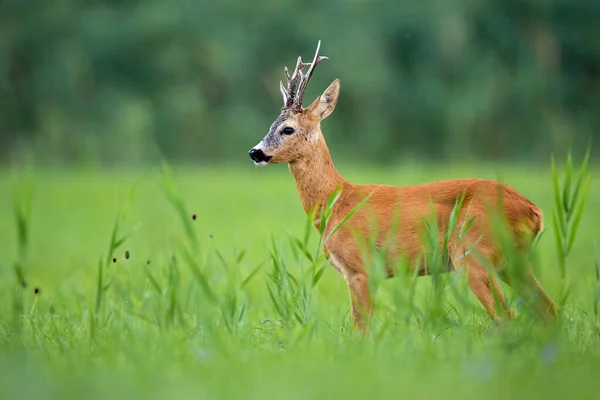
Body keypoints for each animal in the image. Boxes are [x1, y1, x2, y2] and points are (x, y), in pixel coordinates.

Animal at [247, 40, 556, 332]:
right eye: (271, 125)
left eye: (287, 128)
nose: (255, 152)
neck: (337, 202)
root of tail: (535, 212)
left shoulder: (360, 267)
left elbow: (361, 329)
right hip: (512, 262)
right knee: (549, 309)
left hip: (474, 254)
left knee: (507, 316)